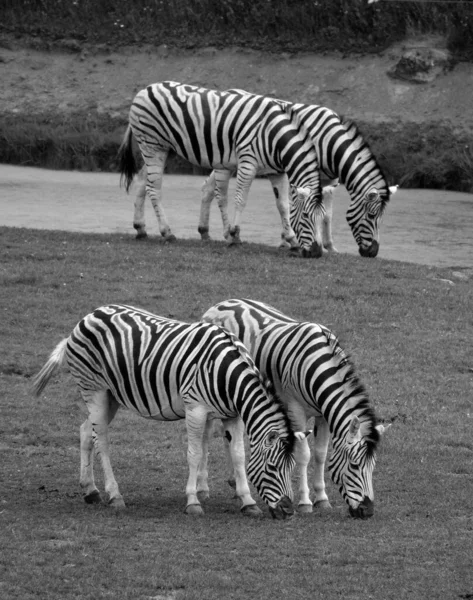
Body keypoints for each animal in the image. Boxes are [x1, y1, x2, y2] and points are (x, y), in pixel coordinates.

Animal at [30, 304, 296, 520]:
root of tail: (87, 316)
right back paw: (115, 495)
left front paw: (248, 502)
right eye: (272, 468)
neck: (228, 375)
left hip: (110, 395)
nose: (289, 511)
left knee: (86, 431)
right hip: (93, 389)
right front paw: (193, 502)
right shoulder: (195, 408)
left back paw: (90, 490)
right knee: (101, 441)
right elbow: (195, 454)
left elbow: (239, 455)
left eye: (291, 468)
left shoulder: (232, 414)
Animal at [117, 79, 328, 255]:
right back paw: (167, 232)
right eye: (306, 215)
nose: (317, 253)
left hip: (164, 149)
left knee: (143, 182)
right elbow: (240, 200)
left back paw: (140, 228)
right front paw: (235, 235)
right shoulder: (247, 163)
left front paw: (292, 240)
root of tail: (145, 89)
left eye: (324, 217)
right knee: (154, 189)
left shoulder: (276, 172)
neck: (273, 136)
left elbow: (283, 205)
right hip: (153, 145)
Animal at [197, 100, 396, 258]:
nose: (373, 253)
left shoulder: (329, 181)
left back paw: (204, 231)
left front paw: (329, 246)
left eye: (381, 218)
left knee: (207, 187)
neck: (329, 143)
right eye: (371, 216)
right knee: (220, 193)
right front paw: (289, 240)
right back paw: (226, 233)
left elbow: (327, 214)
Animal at [201, 298, 390, 516]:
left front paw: (322, 498)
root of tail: (221, 303)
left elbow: (320, 454)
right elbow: (304, 455)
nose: (367, 511)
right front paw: (305, 502)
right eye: (354, 465)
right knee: (206, 436)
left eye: (372, 466)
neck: (319, 366)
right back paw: (204, 489)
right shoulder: (296, 411)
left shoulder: (323, 414)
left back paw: (235, 485)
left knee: (229, 438)